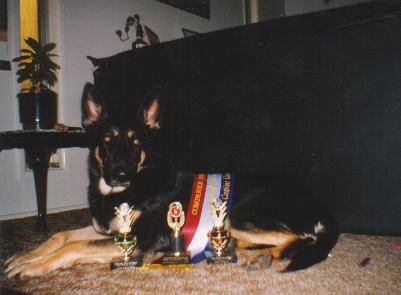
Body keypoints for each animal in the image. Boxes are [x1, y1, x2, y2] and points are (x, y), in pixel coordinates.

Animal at [6, 83, 338, 280]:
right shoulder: (106, 230)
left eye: (136, 143)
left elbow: (72, 247)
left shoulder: (133, 243)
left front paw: (33, 266)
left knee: (299, 239)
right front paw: (27, 256)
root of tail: (322, 205)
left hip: (239, 214)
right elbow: (59, 237)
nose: (121, 174)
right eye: (107, 141)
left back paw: (263, 258)